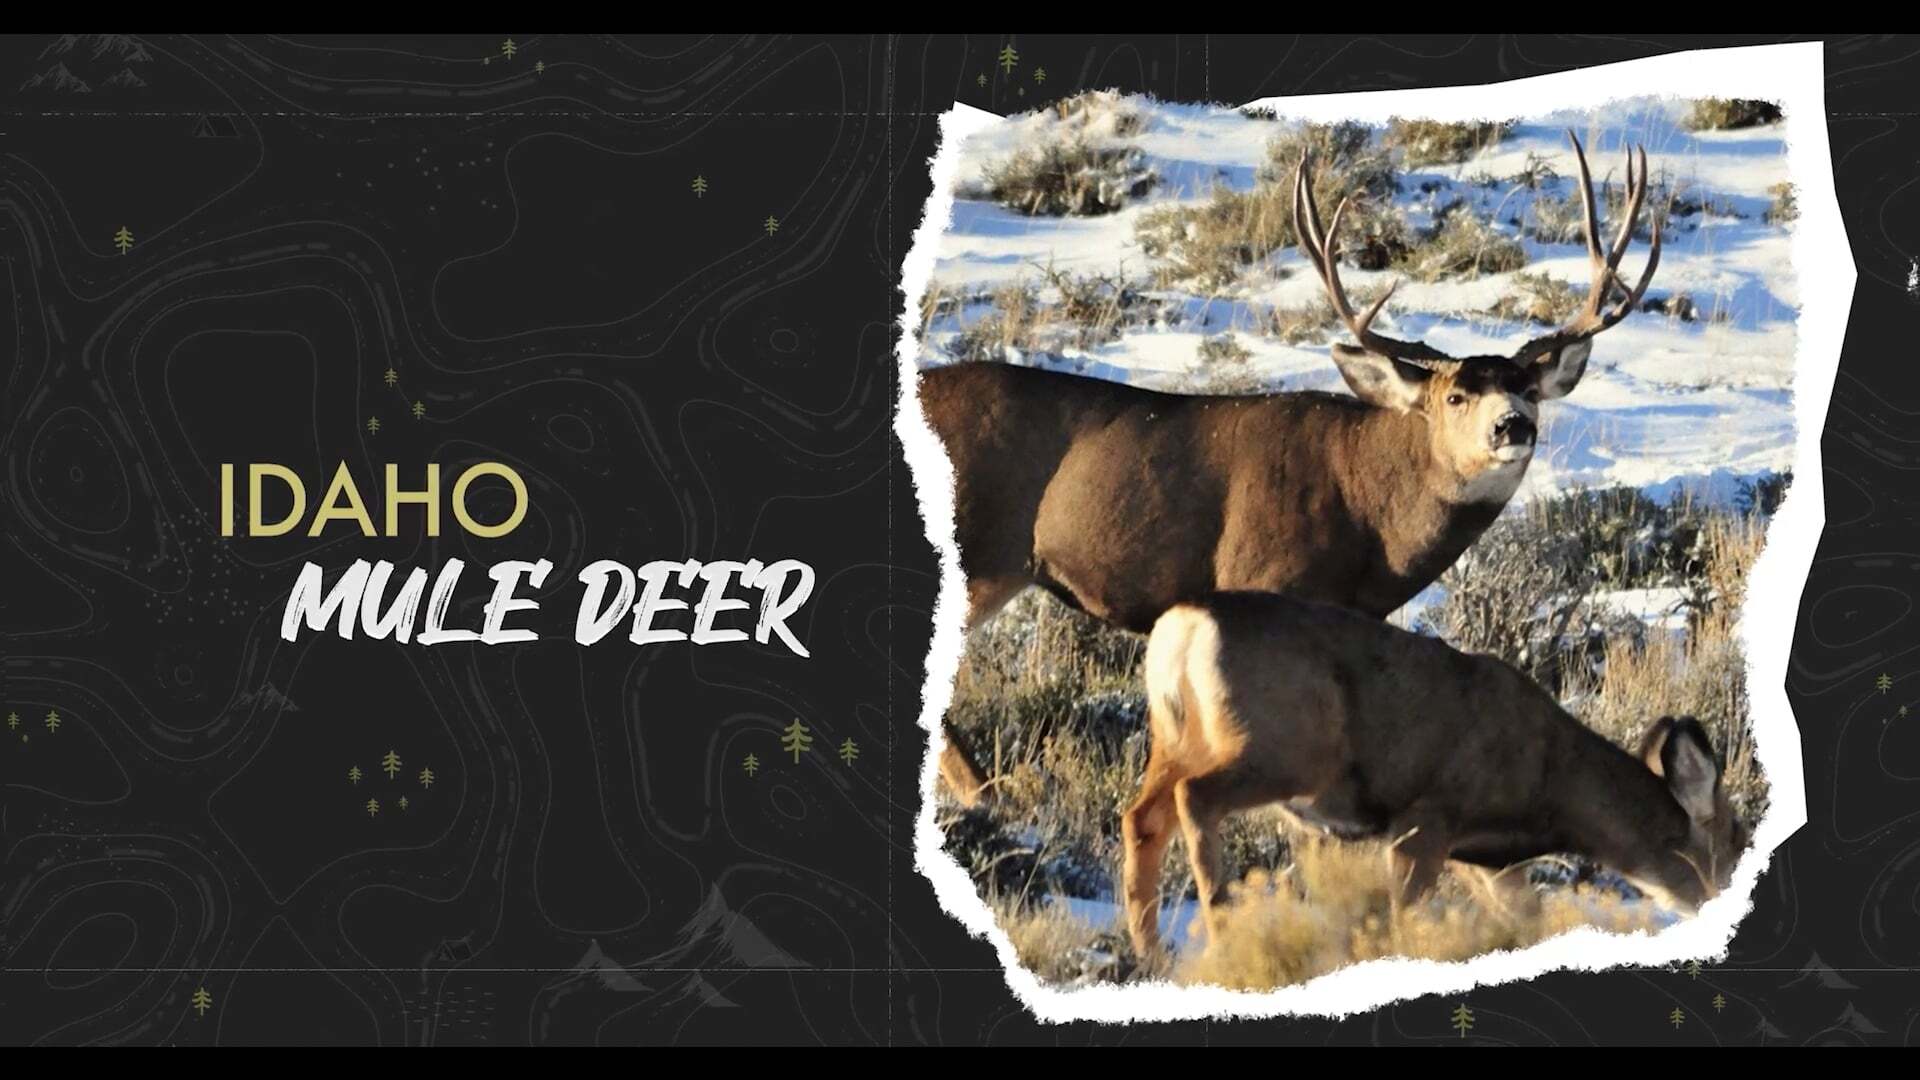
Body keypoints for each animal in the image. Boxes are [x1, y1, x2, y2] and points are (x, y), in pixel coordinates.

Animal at [920, 132, 1661, 805]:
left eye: (1529, 388)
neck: (1371, 520)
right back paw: (990, 796)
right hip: (979, 552)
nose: (1513, 425)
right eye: (1454, 396)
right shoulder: (1257, 576)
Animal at [1122, 592, 1749, 957]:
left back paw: (1153, 951)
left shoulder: (1484, 860)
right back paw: (1221, 922)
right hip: (1283, 748)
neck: (1551, 786)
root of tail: (1183, 626)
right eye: (1737, 841)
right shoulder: (1427, 817)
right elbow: (1405, 916)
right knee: (1195, 797)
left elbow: (1526, 918)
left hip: (1177, 738)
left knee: (1140, 817)